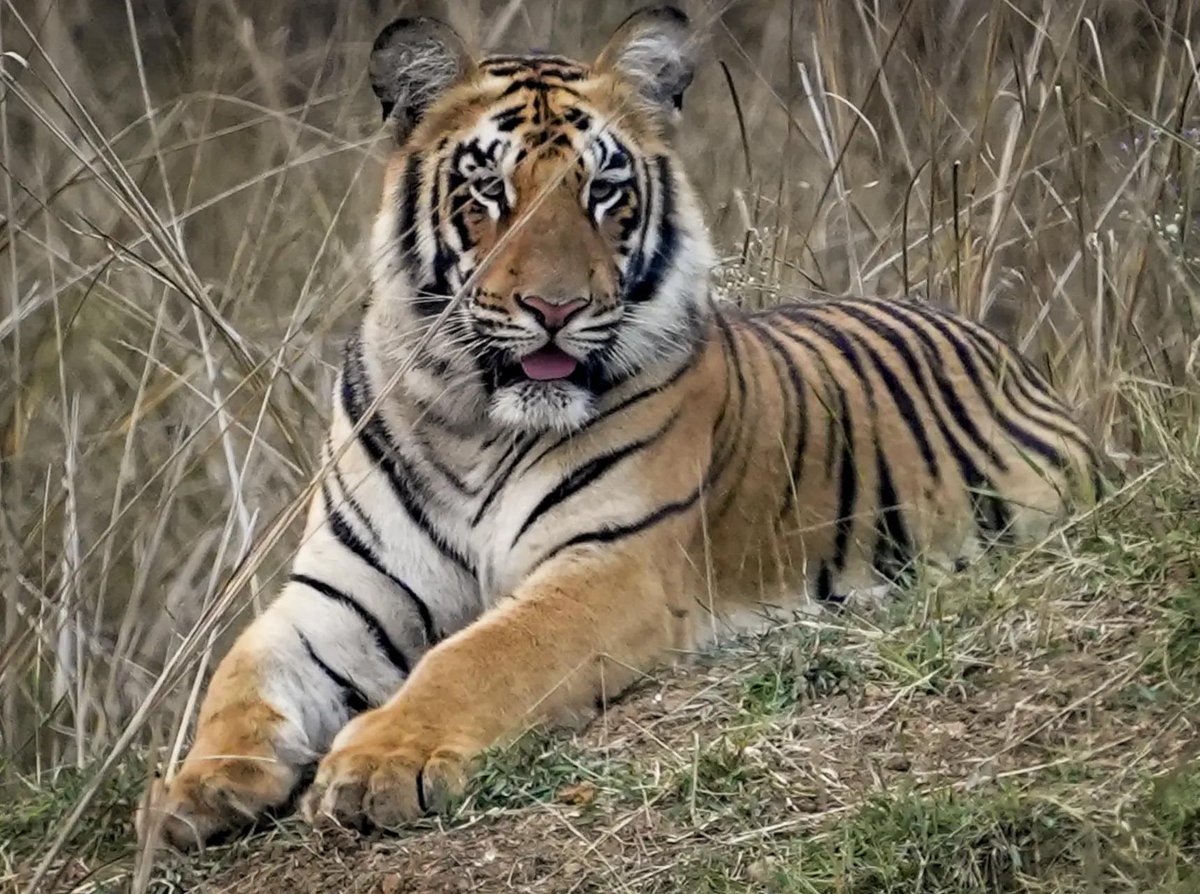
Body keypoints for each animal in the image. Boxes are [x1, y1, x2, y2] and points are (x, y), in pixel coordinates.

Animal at [140, 6, 1099, 849]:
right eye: (489, 189)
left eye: (603, 191)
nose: (555, 309)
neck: (470, 420)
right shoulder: (340, 590)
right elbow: (240, 672)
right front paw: (195, 788)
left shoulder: (608, 565)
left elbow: (477, 659)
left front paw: (379, 764)